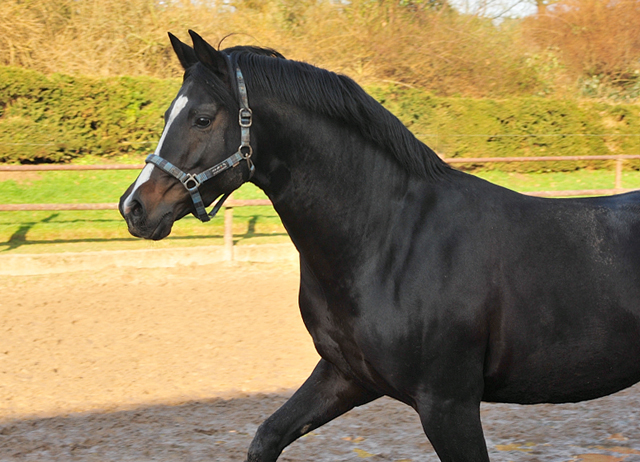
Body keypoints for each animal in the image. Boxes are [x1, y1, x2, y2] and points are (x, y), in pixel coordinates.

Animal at [121, 30, 640, 460]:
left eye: (202, 118)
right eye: (167, 115)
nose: (134, 207)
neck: (390, 241)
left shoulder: (448, 405)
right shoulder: (345, 375)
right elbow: (266, 436)